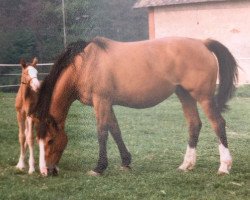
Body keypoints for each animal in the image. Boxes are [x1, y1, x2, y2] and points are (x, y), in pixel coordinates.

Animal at [34, 36, 237, 176]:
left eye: (50, 140)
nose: (47, 171)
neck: (85, 65)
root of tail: (203, 43)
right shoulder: (107, 103)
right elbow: (115, 130)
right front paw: (125, 162)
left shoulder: (101, 101)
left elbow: (102, 132)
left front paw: (99, 168)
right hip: (185, 95)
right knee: (194, 125)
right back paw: (186, 164)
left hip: (204, 97)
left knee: (218, 124)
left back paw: (224, 166)